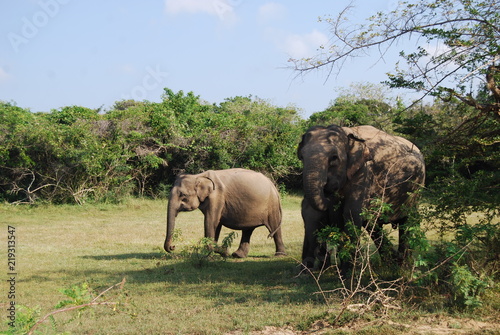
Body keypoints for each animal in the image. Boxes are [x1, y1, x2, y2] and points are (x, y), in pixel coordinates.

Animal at [296, 124, 426, 270]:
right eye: (302, 157)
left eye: (334, 158)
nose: (329, 190)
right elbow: (311, 212)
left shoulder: (364, 171)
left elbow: (352, 212)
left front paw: (347, 272)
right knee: (374, 224)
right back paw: (391, 262)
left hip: (417, 186)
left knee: (407, 221)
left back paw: (403, 265)